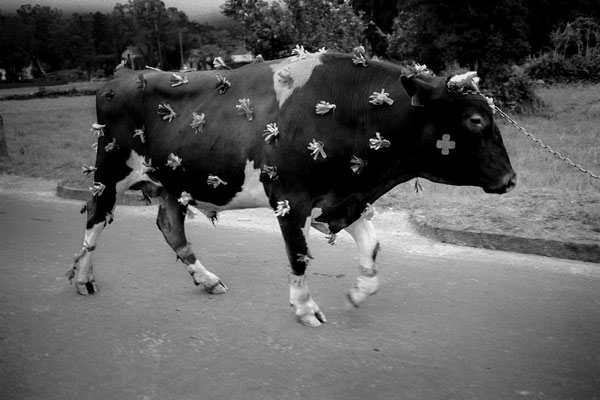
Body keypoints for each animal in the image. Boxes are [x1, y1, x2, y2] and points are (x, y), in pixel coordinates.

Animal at [69, 48, 516, 326]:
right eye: (476, 120)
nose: (511, 179)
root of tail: (122, 78)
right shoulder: (290, 197)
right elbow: (298, 255)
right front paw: (305, 308)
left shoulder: (343, 195)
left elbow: (371, 247)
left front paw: (359, 291)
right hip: (110, 168)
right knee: (95, 218)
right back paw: (82, 278)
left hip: (173, 181)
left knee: (169, 226)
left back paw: (208, 280)